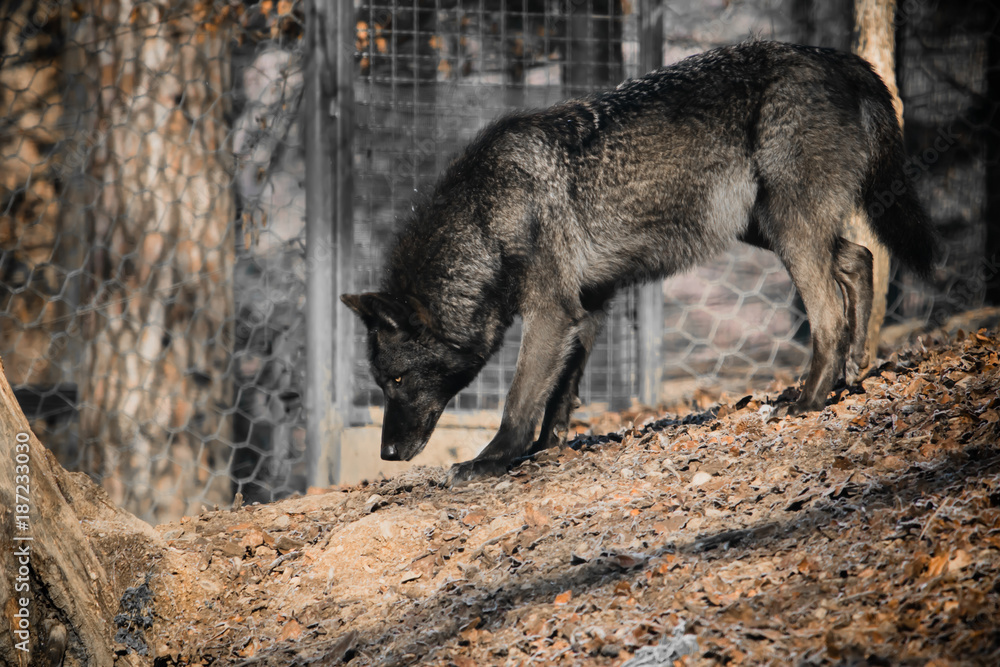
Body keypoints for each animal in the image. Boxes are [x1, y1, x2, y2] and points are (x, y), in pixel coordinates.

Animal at [342, 40, 935, 484]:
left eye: (396, 380)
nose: (386, 454)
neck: (485, 217)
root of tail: (842, 59)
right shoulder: (586, 311)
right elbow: (559, 397)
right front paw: (542, 451)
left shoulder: (550, 312)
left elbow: (519, 400)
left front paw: (492, 460)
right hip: (767, 229)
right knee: (859, 258)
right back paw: (852, 373)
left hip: (786, 232)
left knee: (829, 313)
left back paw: (809, 400)